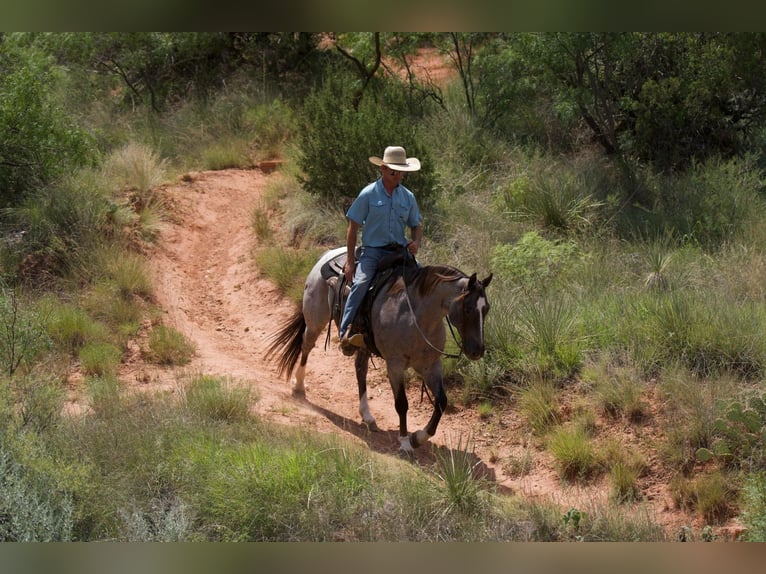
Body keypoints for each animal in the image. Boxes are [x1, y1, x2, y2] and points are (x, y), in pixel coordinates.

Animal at [266, 245, 492, 456]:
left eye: (487, 309)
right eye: (468, 309)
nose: (477, 351)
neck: (417, 318)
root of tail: (328, 254)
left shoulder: (430, 366)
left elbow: (441, 402)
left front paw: (419, 437)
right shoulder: (395, 365)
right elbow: (402, 404)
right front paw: (405, 443)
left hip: (363, 343)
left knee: (360, 369)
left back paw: (367, 416)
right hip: (315, 320)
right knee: (306, 346)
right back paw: (299, 387)